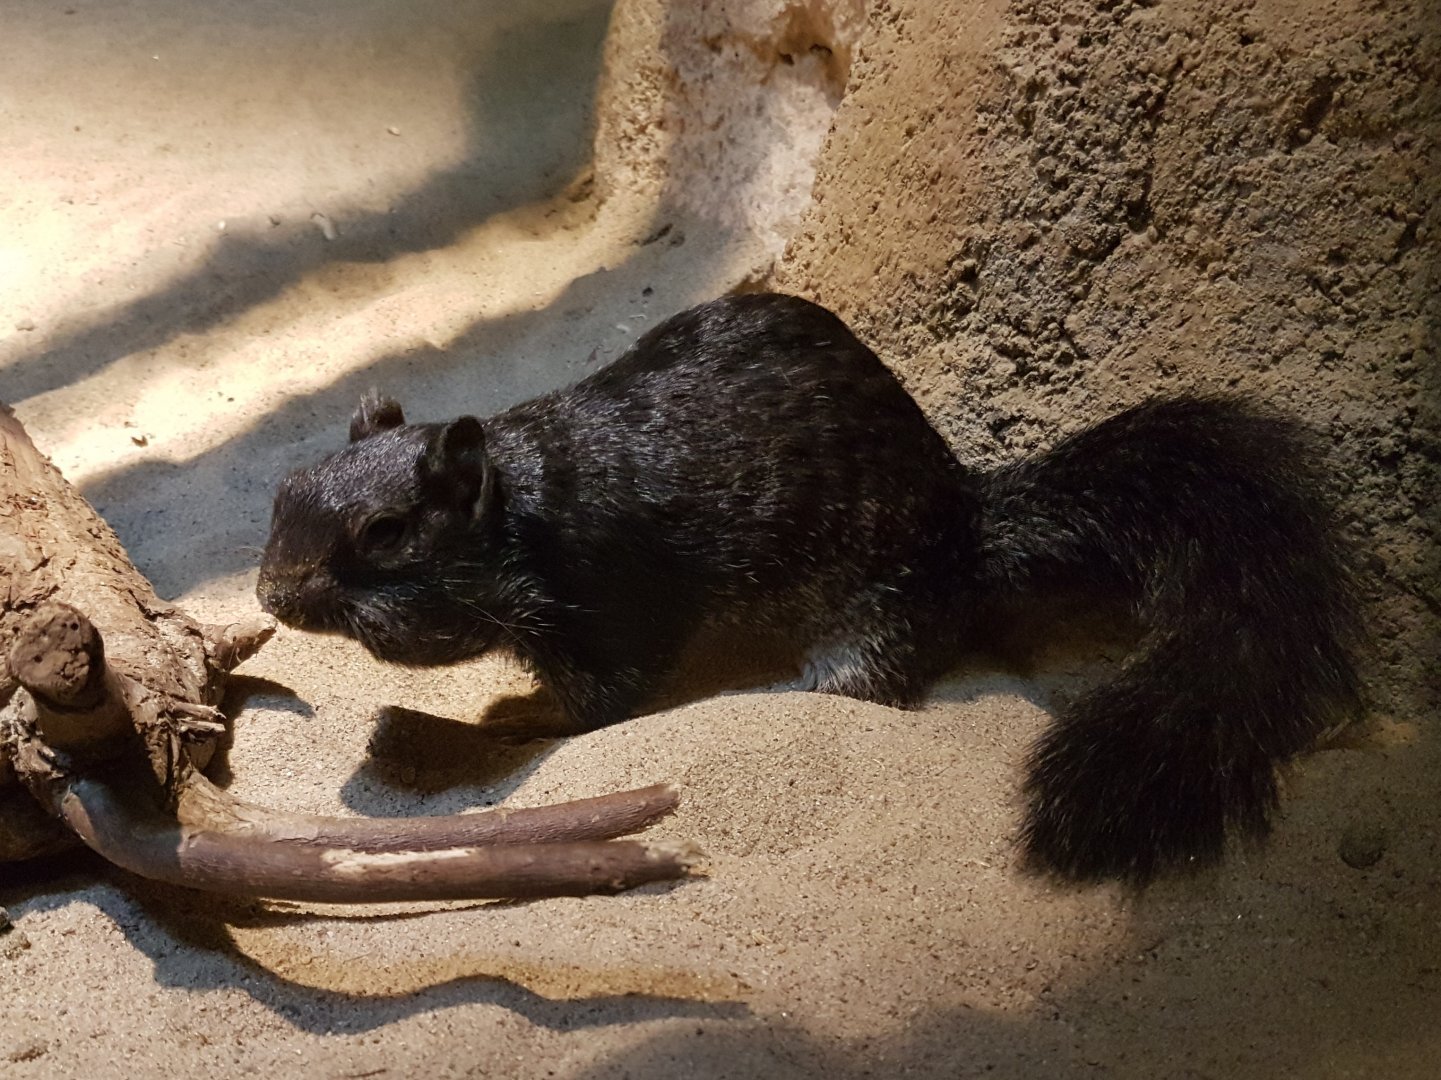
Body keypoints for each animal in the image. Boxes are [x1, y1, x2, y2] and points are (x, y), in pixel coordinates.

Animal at [257, 292, 1363, 883]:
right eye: (283, 491)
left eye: (387, 532)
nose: (269, 595)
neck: (533, 501)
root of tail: (968, 521)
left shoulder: (608, 605)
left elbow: (595, 703)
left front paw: (504, 718)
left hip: (874, 614)